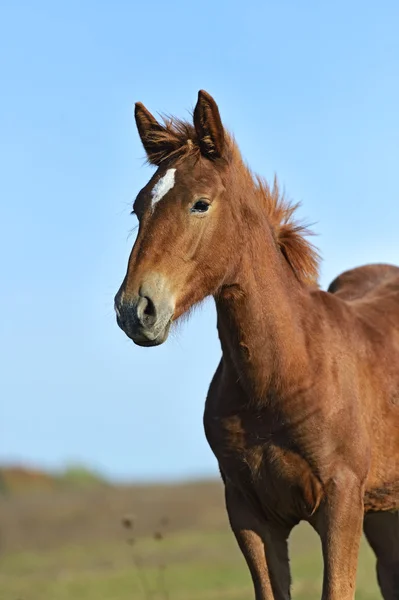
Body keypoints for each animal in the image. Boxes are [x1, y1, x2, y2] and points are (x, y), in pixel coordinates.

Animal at [115, 90, 399, 600]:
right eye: (138, 207)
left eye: (200, 204)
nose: (135, 309)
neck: (281, 373)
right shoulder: (248, 512)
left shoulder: (342, 502)